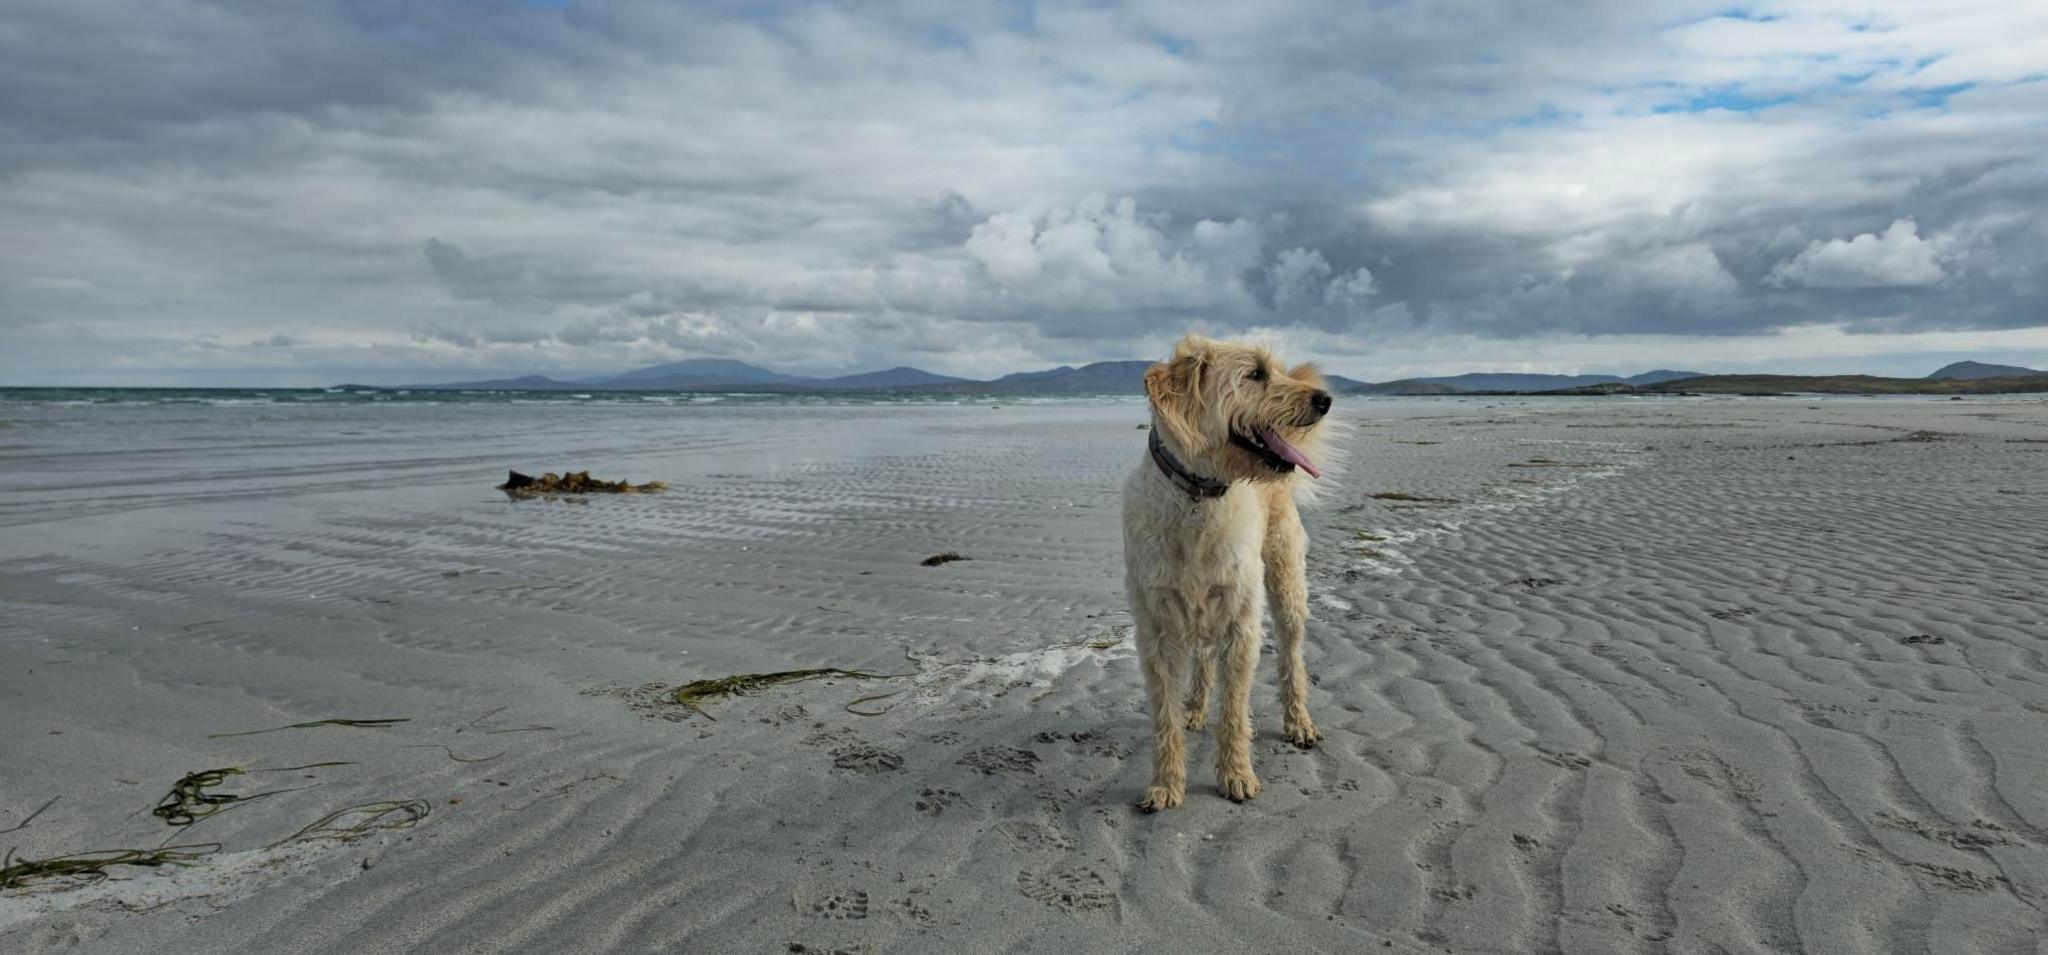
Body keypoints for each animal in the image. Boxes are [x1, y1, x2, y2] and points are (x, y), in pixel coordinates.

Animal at [1122, 331, 1343, 811]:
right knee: (1204, 659)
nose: (1325, 399)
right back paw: (1195, 709)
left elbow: (1236, 710)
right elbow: (1164, 715)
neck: (1197, 496)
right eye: (1255, 373)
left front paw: (1237, 774)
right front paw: (1166, 783)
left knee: (1292, 658)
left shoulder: (1241, 623)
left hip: (1286, 587)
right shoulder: (1157, 630)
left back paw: (1299, 721)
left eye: (1273, 370)